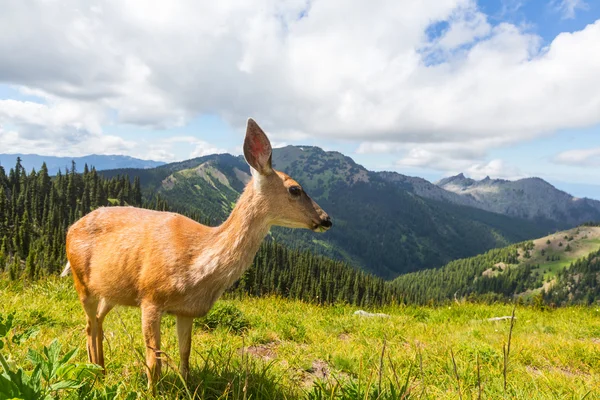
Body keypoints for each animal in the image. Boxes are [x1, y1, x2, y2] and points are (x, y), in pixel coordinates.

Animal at [62, 118, 332, 388]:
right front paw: (151, 391)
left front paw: (187, 387)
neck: (197, 264)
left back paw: (101, 369)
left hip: (110, 290)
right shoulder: (150, 296)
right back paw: (95, 374)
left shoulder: (187, 310)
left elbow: (185, 354)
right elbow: (154, 361)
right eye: (295, 189)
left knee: (97, 321)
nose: (326, 219)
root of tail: (71, 227)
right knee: (89, 324)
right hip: (80, 281)